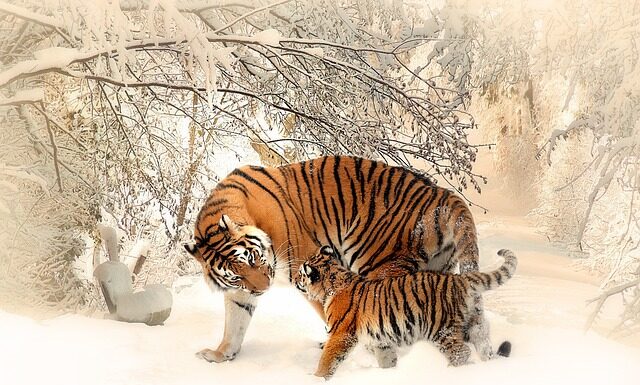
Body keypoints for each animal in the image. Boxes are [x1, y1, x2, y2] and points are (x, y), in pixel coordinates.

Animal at [184, 154, 480, 362]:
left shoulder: (305, 266)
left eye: (254, 258)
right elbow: (235, 322)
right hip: (435, 270)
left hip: (378, 264)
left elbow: (330, 313)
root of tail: (441, 193)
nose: (264, 289)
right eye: (236, 275)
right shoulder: (240, 291)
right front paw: (220, 355)